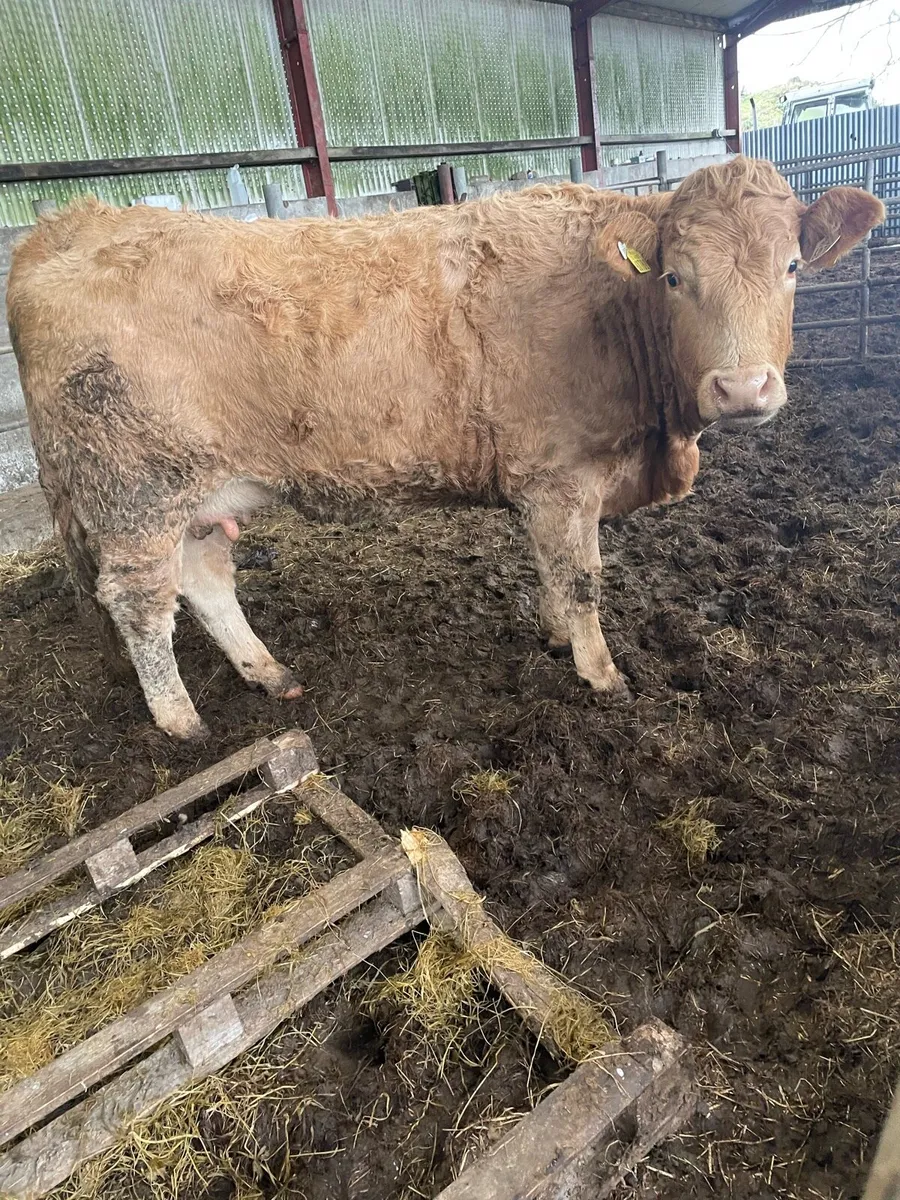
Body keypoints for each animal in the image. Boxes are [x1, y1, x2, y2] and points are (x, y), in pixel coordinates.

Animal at [6, 156, 883, 740]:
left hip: (192, 494)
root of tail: (73, 223)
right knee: (140, 601)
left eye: (794, 267)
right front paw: (601, 675)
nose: (742, 389)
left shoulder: (549, 485)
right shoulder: (563, 475)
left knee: (204, 579)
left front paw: (556, 636)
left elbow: (552, 571)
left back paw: (270, 673)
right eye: (675, 278)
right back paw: (181, 719)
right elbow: (583, 578)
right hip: (134, 491)